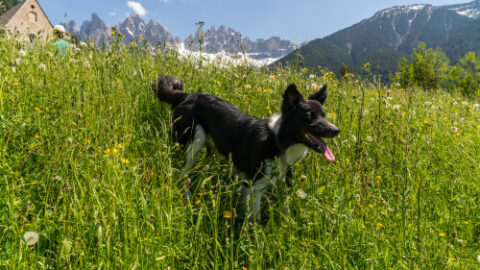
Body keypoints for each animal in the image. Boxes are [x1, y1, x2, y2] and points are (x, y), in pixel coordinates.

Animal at [152, 76, 340, 221]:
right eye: (310, 117)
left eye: (324, 116)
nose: (336, 130)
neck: (277, 141)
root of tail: (185, 95)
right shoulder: (254, 187)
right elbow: (256, 220)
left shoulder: (281, 182)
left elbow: (285, 209)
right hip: (193, 139)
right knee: (182, 170)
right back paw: (187, 193)